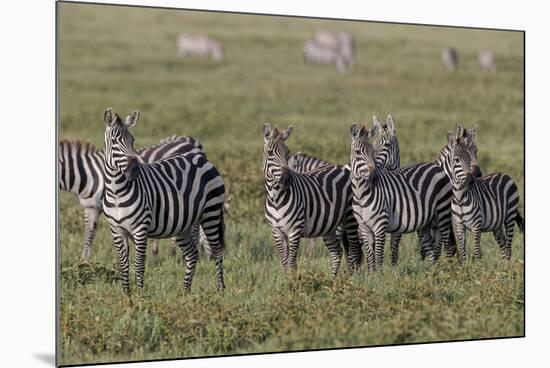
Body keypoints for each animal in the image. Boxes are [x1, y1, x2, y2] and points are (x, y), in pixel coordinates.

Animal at [102, 107, 225, 294]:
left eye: (133, 140)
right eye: (114, 142)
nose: (134, 170)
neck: (116, 192)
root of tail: (201, 158)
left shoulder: (140, 229)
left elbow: (139, 264)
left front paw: (140, 295)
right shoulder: (116, 230)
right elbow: (123, 265)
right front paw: (126, 295)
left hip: (211, 213)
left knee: (217, 251)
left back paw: (220, 290)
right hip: (183, 225)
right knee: (192, 254)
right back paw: (185, 292)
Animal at [264, 123, 362, 276]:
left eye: (287, 152)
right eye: (269, 153)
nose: (286, 180)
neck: (276, 198)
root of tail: (345, 167)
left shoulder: (294, 231)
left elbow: (292, 264)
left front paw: (293, 282)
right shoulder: (277, 232)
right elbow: (285, 263)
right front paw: (286, 280)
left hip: (350, 218)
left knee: (353, 251)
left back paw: (353, 279)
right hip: (329, 226)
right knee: (337, 252)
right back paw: (332, 280)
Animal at [352, 121, 454, 270]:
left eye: (387, 145)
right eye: (358, 152)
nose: (374, 176)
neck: (362, 194)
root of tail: (437, 167)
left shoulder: (384, 226)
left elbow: (384, 254)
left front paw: (383, 273)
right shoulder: (366, 227)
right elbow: (372, 256)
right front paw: (373, 273)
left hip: (443, 213)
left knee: (445, 242)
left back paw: (449, 269)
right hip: (427, 222)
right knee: (430, 248)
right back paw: (431, 270)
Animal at [450, 129, 524, 262]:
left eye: (469, 158)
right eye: (457, 160)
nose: (471, 180)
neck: (460, 198)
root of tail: (504, 174)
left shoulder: (476, 226)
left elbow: (477, 253)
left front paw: (478, 268)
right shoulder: (459, 226)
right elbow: (463, 254)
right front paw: (463, 267)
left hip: (510, 216)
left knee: (508, 249)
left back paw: (507, 267)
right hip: (497, 225)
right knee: (503, 246)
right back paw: (503, 266)